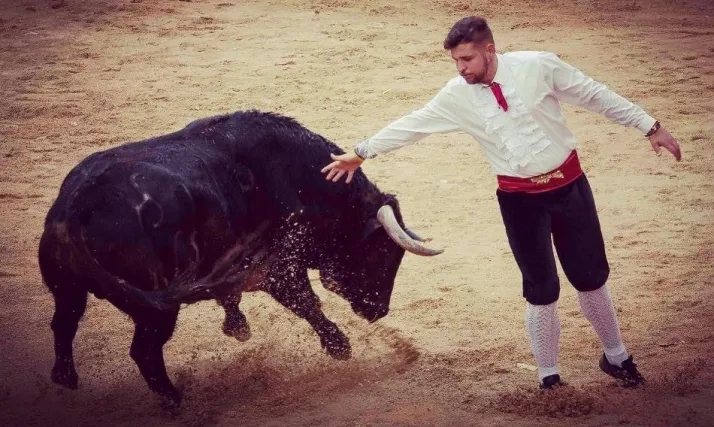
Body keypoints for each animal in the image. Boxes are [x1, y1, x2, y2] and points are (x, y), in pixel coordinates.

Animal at [38, 110, 442, 406]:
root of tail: (75, 208)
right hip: (156, 311)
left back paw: (65, 379)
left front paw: (238, 327)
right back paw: (174, 400)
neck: (300, 179)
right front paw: (339, 347)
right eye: (383, 252)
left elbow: (233, 298)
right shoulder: (282, 267)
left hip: (67, 288)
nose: (379, 311)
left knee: (64, 324)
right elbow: (307, 303)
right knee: (144, 352)